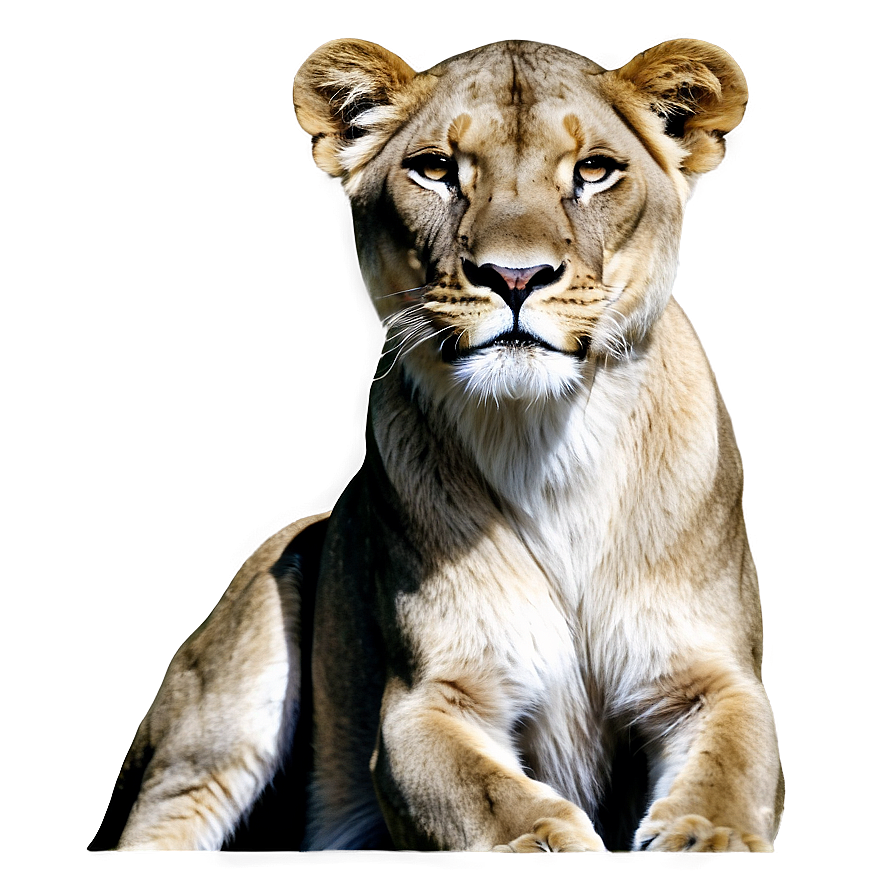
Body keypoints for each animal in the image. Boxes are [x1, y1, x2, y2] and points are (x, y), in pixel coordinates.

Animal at [90, 37, 783, 853]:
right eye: (437, 169)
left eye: (593, 171)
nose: (515, 275)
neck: (541, 441)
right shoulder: (425, 702)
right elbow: (493, 800)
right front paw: (547, 845)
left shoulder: (712, 675)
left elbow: (729, 771)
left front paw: (709, 838)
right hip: (234, 671)